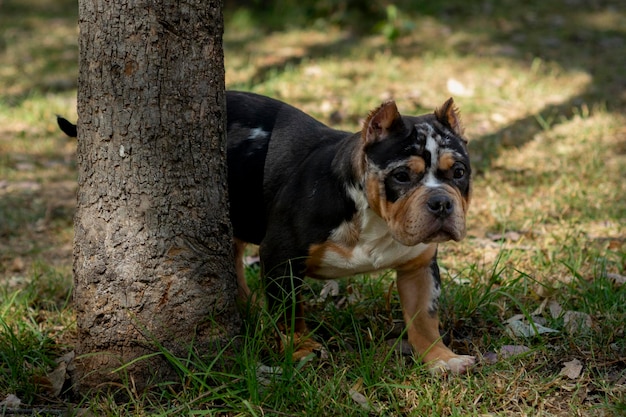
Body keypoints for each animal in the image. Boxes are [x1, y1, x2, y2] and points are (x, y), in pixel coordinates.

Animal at [227, 92, 470, 374]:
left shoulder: (419, 268)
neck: (376, 220)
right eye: (401, 176)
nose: (441, 202)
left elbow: (424, 317)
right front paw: (300, 349)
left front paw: (441, 357)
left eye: (459, 172)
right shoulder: (281, 256)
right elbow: (289, 310)